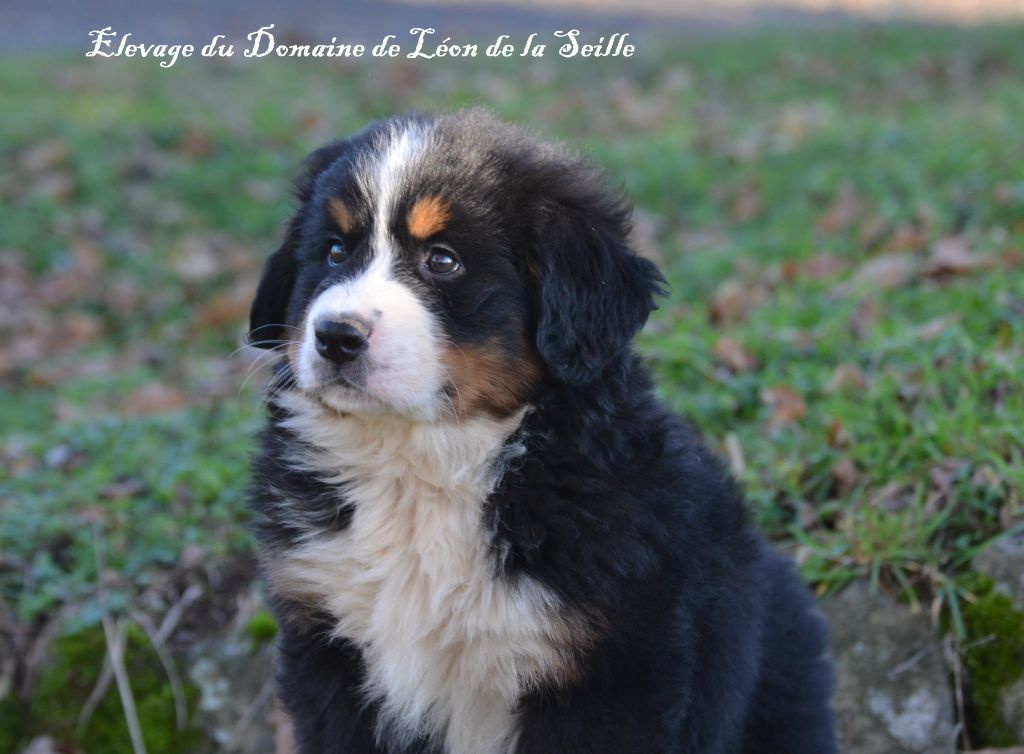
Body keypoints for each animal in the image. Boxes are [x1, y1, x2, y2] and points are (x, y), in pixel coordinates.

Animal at [247, 108, 837, 754]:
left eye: (443, 260)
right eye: (332, 252)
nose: (336, 335)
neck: (421, 471)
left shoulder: (607, 675)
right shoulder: (327, 645)